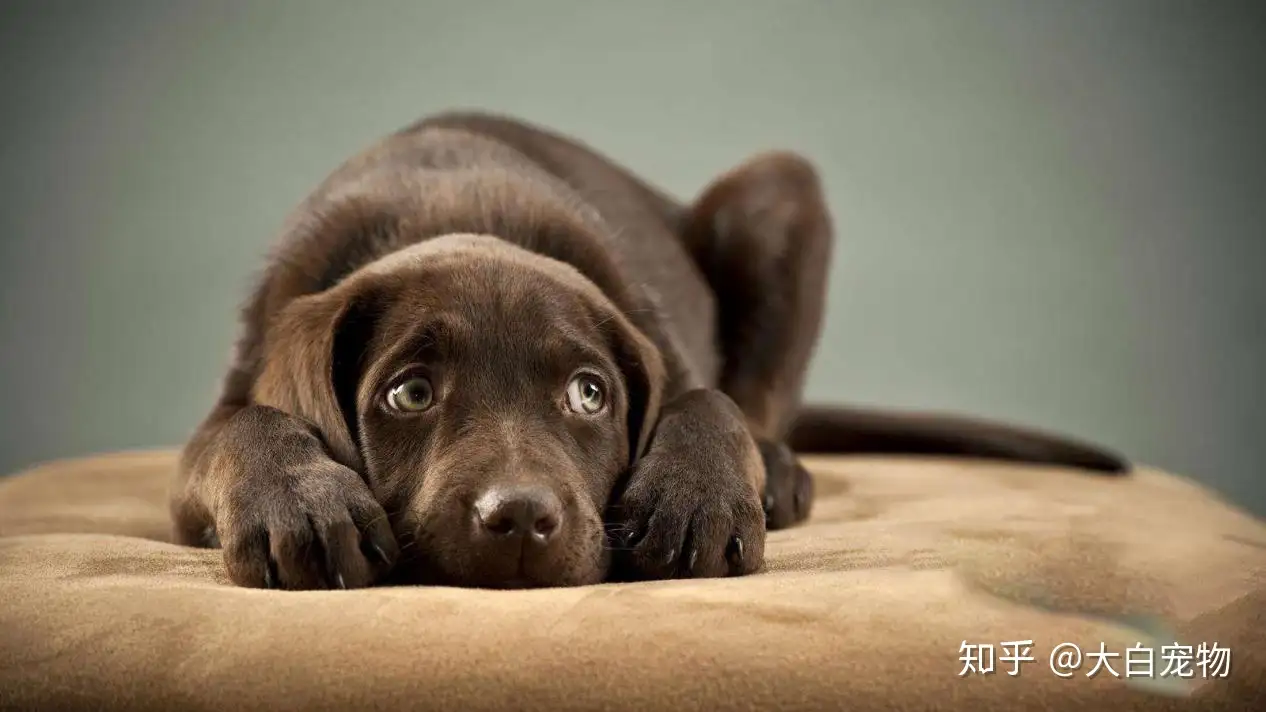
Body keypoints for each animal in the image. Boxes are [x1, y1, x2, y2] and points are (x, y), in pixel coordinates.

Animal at [170, 110, 1129, 587]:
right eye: (409, 394)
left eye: (589, 395)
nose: (522, 519)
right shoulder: (221, 411)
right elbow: (240, 430)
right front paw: (300, 502)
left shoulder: (658, 338)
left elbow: (706, 400)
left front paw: (697, 500)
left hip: (780, 191)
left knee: (762, 401)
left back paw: (778, 473)